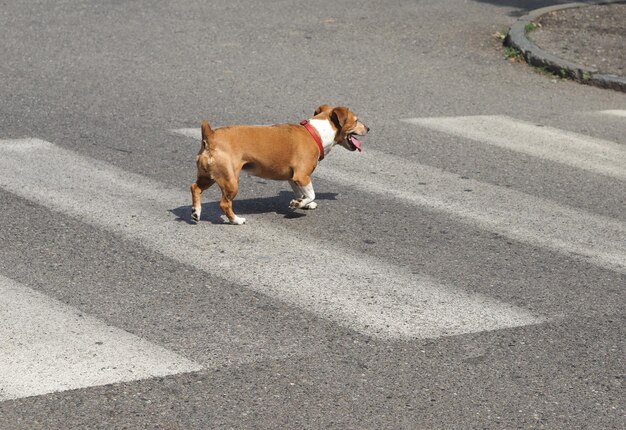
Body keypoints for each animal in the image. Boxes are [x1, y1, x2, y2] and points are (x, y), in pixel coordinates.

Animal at [190, 105, 366, 225]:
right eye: (357, 121)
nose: (369, 128)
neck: (316, 133)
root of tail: (211, 136)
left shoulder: (292, 178)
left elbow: (301, 193)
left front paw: (302, 203)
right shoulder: (302, 176)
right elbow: (311, 194)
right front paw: (300, 203)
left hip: (209, 176)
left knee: (195, 187)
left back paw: (196, 212)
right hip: (230, 180)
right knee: (224, 203)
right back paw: (236, 220)